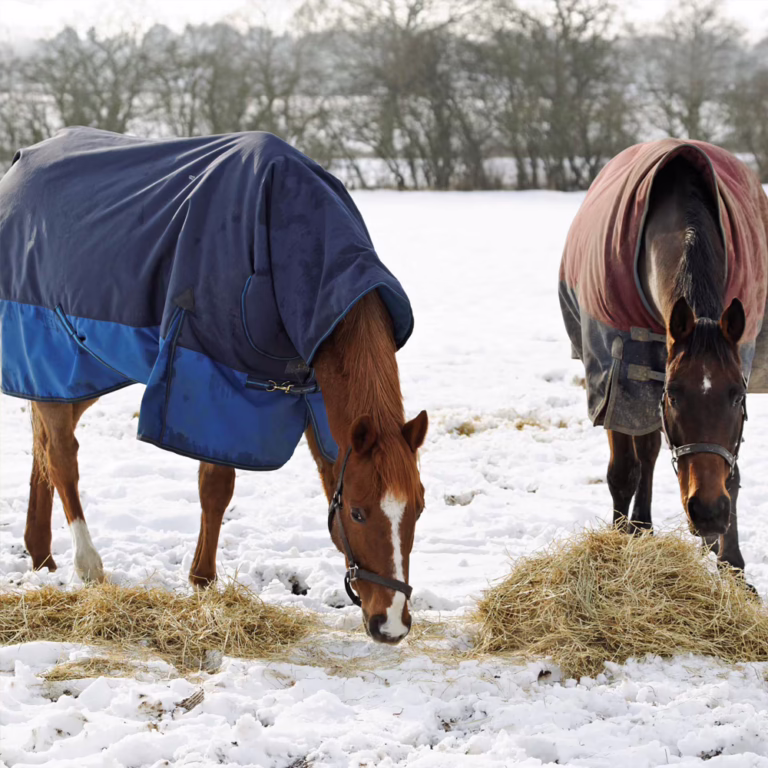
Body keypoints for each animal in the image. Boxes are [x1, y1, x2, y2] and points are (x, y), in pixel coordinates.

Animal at [1, 128, 428, 644]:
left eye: (419, 508)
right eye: (361, 513)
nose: (392, 624)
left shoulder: (318, 398)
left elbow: (325, 475)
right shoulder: (213, 381)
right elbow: (216, 486)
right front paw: (203, 581)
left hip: (80, 371)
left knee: (42, 445)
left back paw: (41, 555)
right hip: (52, 352)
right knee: (62, 456)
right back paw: (87, 564)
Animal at [560, 140, 768, 578]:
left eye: (738, 396)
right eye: (673, 394)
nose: (708, 512)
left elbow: (733, 473)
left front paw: (732, 563)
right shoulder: (617, 377)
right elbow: (623, 470)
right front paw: (620, 540)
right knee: (643, 454)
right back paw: (639, 525)